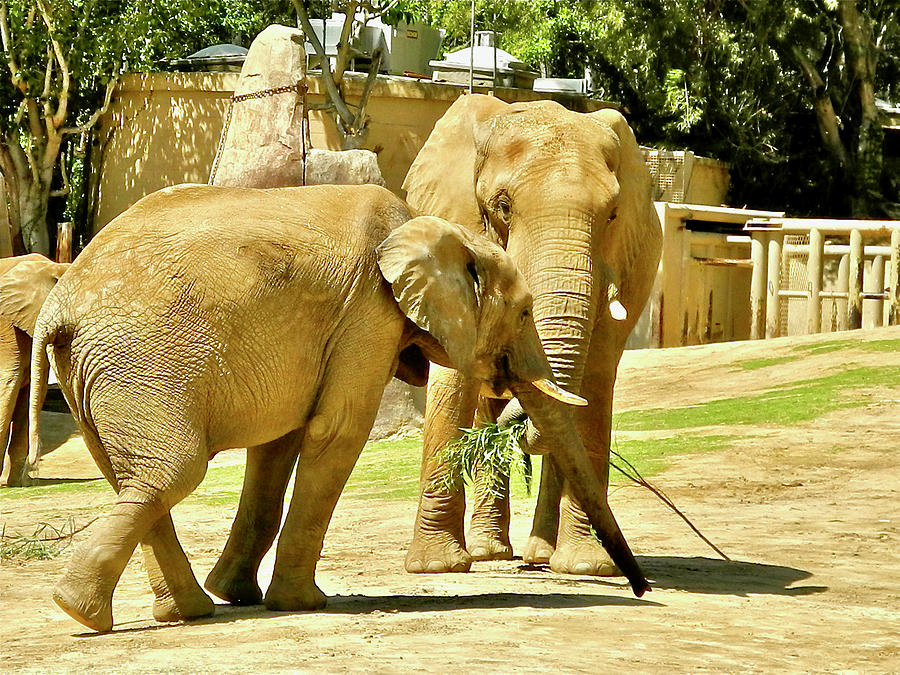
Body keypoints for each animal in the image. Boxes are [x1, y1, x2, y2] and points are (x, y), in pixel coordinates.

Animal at [21, 181, 644, 632]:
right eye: (523, 313)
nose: (641, 589)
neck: (427, 225)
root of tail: (58, 303)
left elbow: (281, 442)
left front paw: (240, 595)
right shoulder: (367, 311)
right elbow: (337, 431)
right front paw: (302, 604)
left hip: (95, 372)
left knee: (132, 476)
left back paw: (182, 611)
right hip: (137, 363)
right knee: (173, 472)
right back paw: (86, 612)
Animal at [400, 95, 660, 580]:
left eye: (612, 214)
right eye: (503, 207)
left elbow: (593, 383)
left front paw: (587, 568)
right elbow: (452, 382)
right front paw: (435, 566)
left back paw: (541, 556)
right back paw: (489, 553)